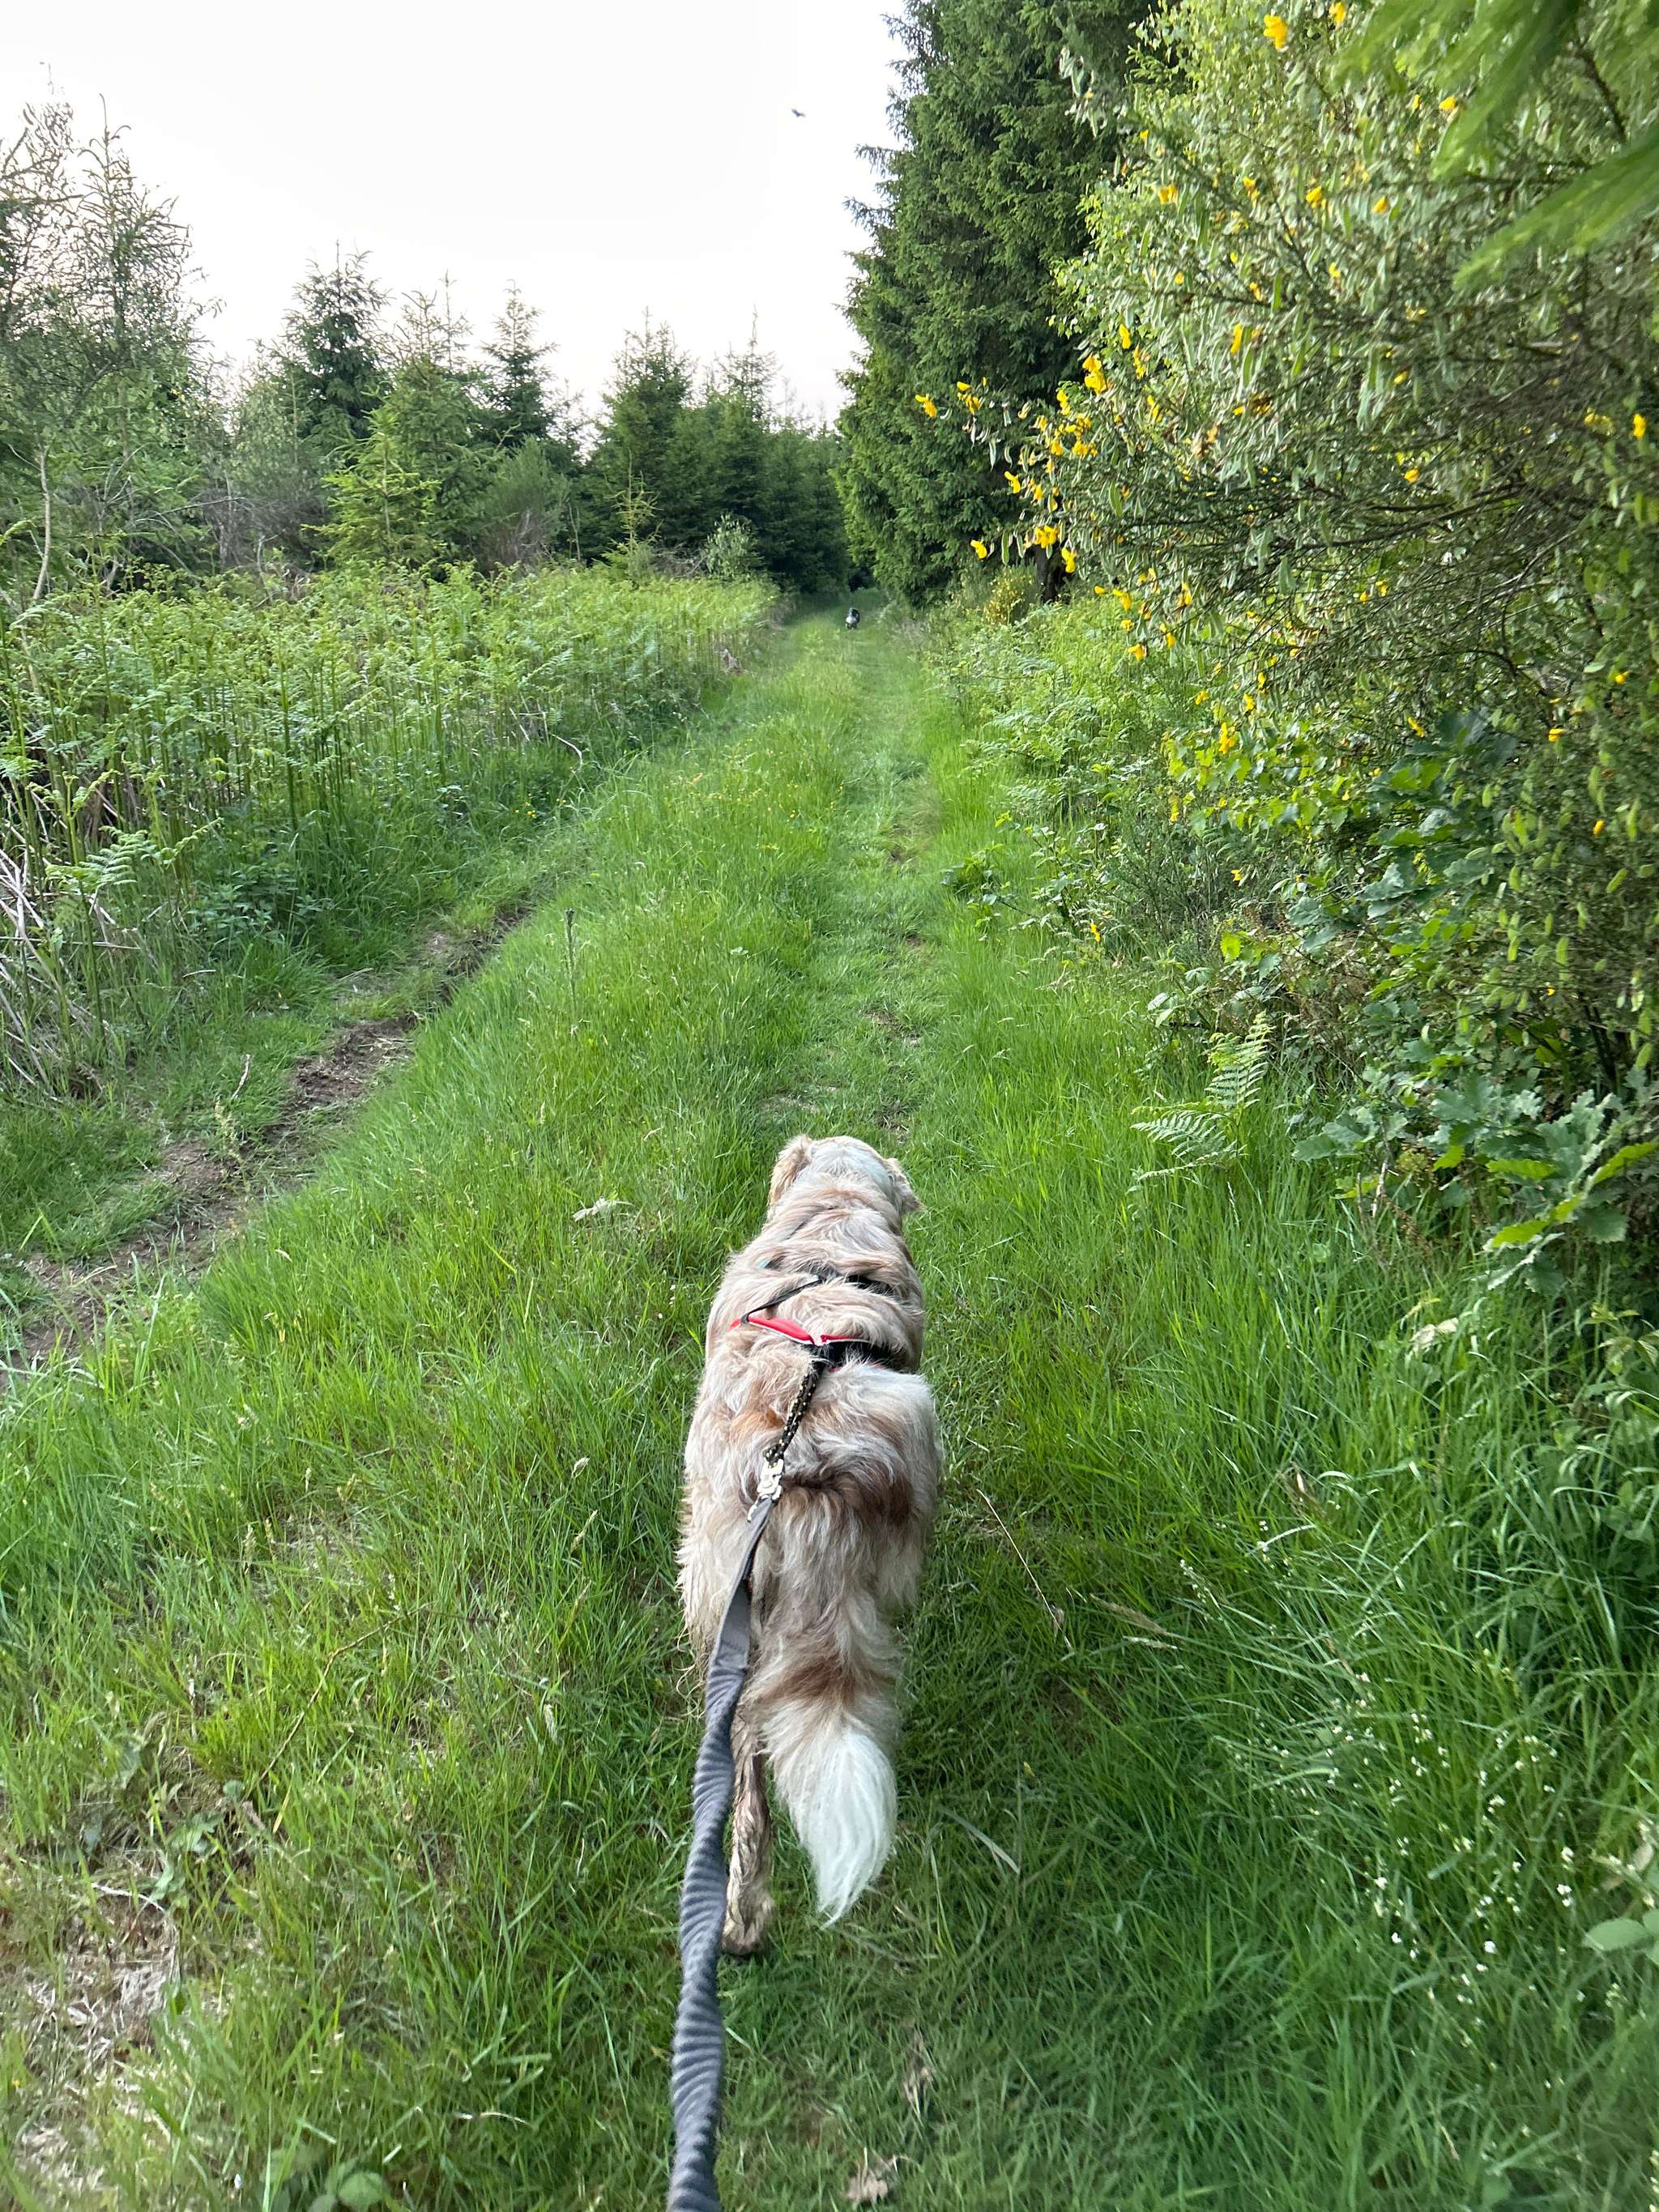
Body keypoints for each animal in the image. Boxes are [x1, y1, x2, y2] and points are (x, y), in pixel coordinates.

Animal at [679, 1134, 939, 1951]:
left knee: (744, 1775)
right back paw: (744, 1920)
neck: (830, 1223)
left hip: (713, 1593)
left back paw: (738, 1918)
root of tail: (804, 1470)